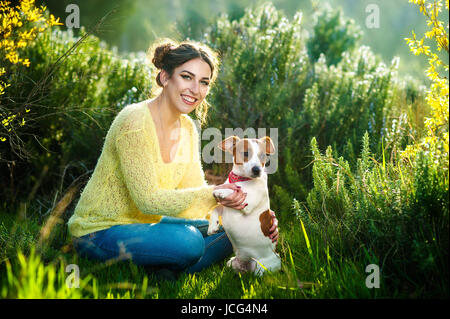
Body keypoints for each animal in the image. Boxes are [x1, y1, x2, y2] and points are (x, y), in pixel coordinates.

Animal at [208, 136, 282, 276]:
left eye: (263, 155)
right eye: (246, 153)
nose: (257, 170)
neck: (242, 180)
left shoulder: (247, 202)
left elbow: (237, 192)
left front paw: (222, 190)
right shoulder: (225, 207)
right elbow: (216, 208)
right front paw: (212, 226)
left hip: (261, 268)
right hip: (231, 263)